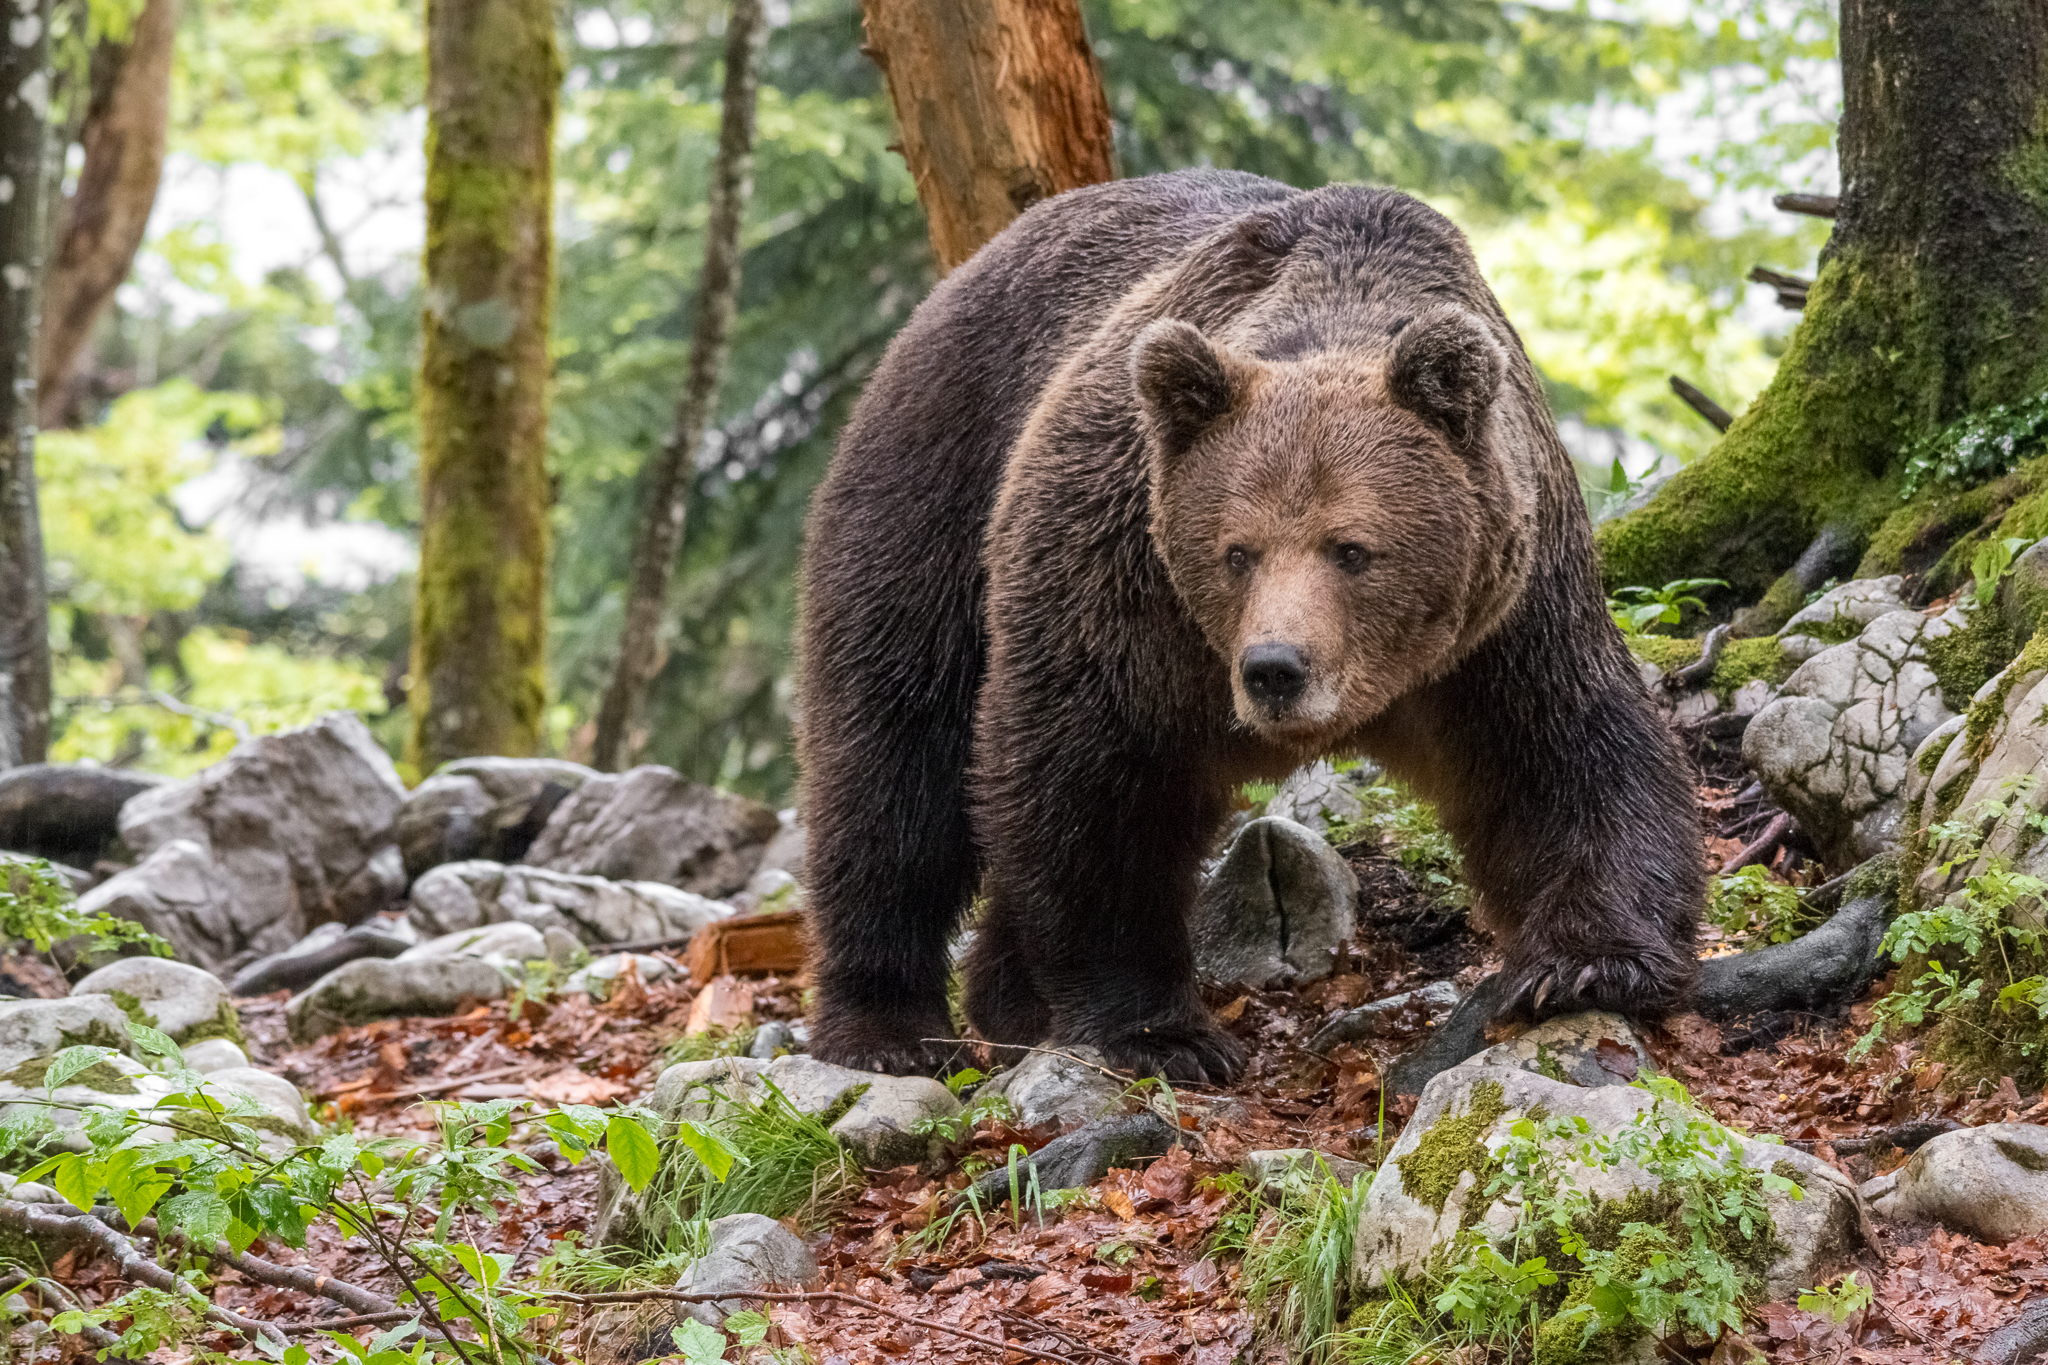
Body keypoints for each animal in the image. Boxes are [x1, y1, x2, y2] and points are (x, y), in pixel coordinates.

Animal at [797, 169, 1702, 1083]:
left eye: (1351, 547)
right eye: (1237, 550)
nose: (1274, 666)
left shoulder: (1503, 614)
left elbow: (1563, 752)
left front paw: (1585, 965)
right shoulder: (1123, 582)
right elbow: (1092, 782)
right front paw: (1165, 1032)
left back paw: (1008, 997)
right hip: (935, 489)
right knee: (897, 758)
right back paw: (887, 1027)